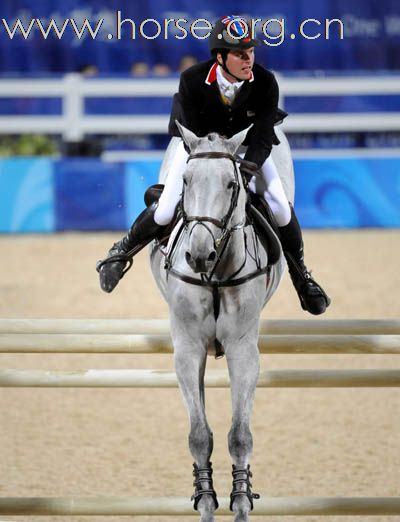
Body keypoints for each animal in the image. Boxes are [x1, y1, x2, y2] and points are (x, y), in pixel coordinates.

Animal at [150, 123, 294, 520]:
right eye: (186, 180)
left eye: (232, 184)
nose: (199, 255)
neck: (214, 274)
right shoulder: (188, 349)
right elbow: (199, 435)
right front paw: (205, 501)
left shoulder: (242, 350)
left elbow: (239, 435)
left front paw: (241, 501)